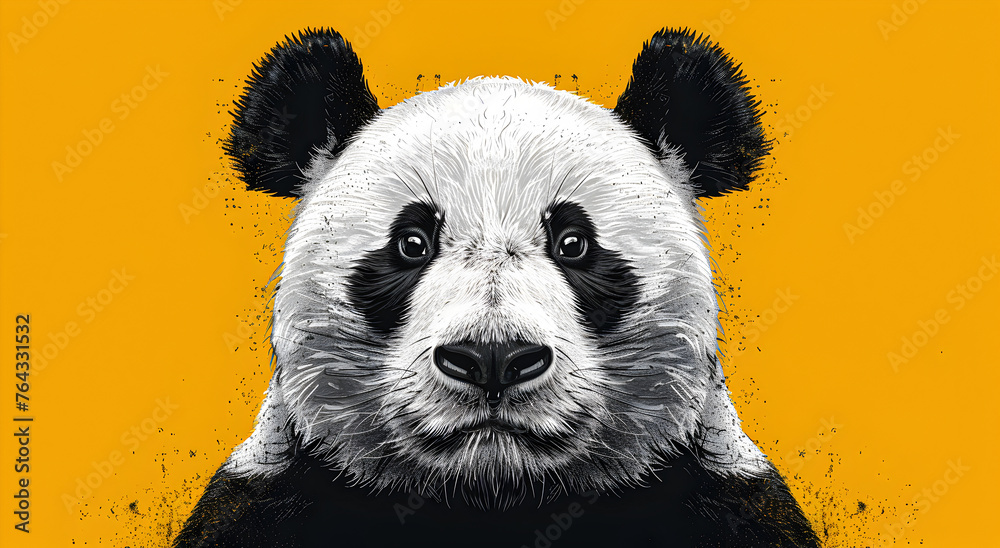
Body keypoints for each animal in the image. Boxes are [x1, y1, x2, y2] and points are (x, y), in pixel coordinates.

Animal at [175, 27, 819, 548]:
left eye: (573, 243)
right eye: (412, 243)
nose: (492, 358)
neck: (494, 495)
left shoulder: (725, 501)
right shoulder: (269, 500)